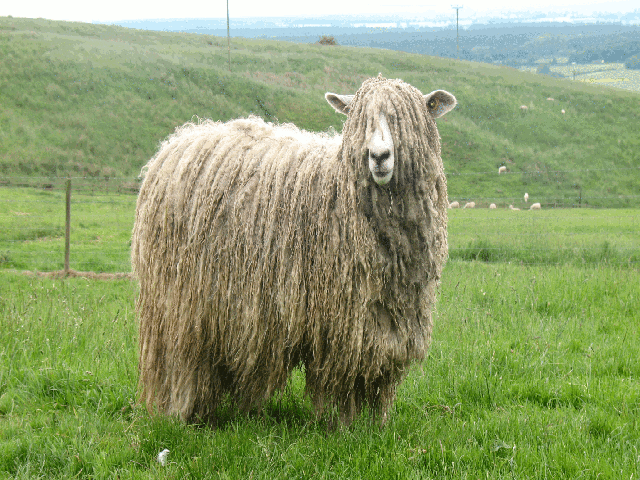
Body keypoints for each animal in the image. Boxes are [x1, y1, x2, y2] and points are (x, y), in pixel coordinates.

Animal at [131, 74, 457, 427]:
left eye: (404, 120)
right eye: (358, 119)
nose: (379, 156)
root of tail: (177, 142)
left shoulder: (388, 318)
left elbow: (377, 375)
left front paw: (375, 424)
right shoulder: (342, 319)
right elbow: (344, 378)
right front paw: (345, 425)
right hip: (180, 301)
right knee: (181, 357)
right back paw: (182, 413)